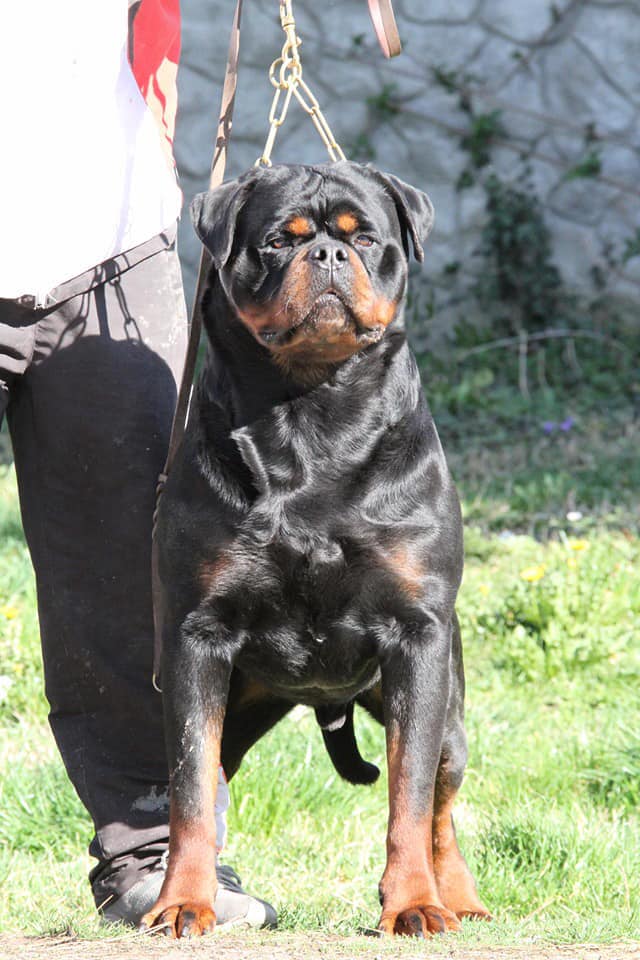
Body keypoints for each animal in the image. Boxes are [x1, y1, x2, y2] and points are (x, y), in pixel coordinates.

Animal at [144, 163, 490, 936]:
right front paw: (183, 900)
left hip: (449, 697)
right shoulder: (195, 639)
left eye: (364, 237)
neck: (311, 415)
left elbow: (409, 796)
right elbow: (189, 786)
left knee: (443, 797)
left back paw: (458, 895)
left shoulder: (417, 638)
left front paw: (413, 902)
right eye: (279, 241)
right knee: (213, 776)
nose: (328, 253)